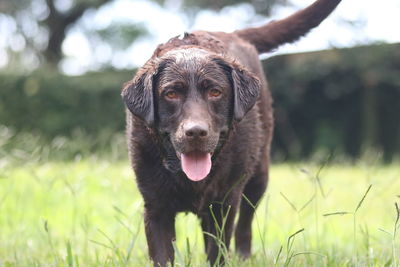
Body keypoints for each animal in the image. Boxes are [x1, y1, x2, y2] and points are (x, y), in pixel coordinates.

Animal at [121, 0, 340, 266]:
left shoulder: (223, 203)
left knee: (244, 224)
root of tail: (233, 33)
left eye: (215, 92)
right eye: (170, 94)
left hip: (258, 176)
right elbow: (163, 254)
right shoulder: (155, 207)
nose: (196, 132)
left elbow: (219, 248)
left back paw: (244, 257)